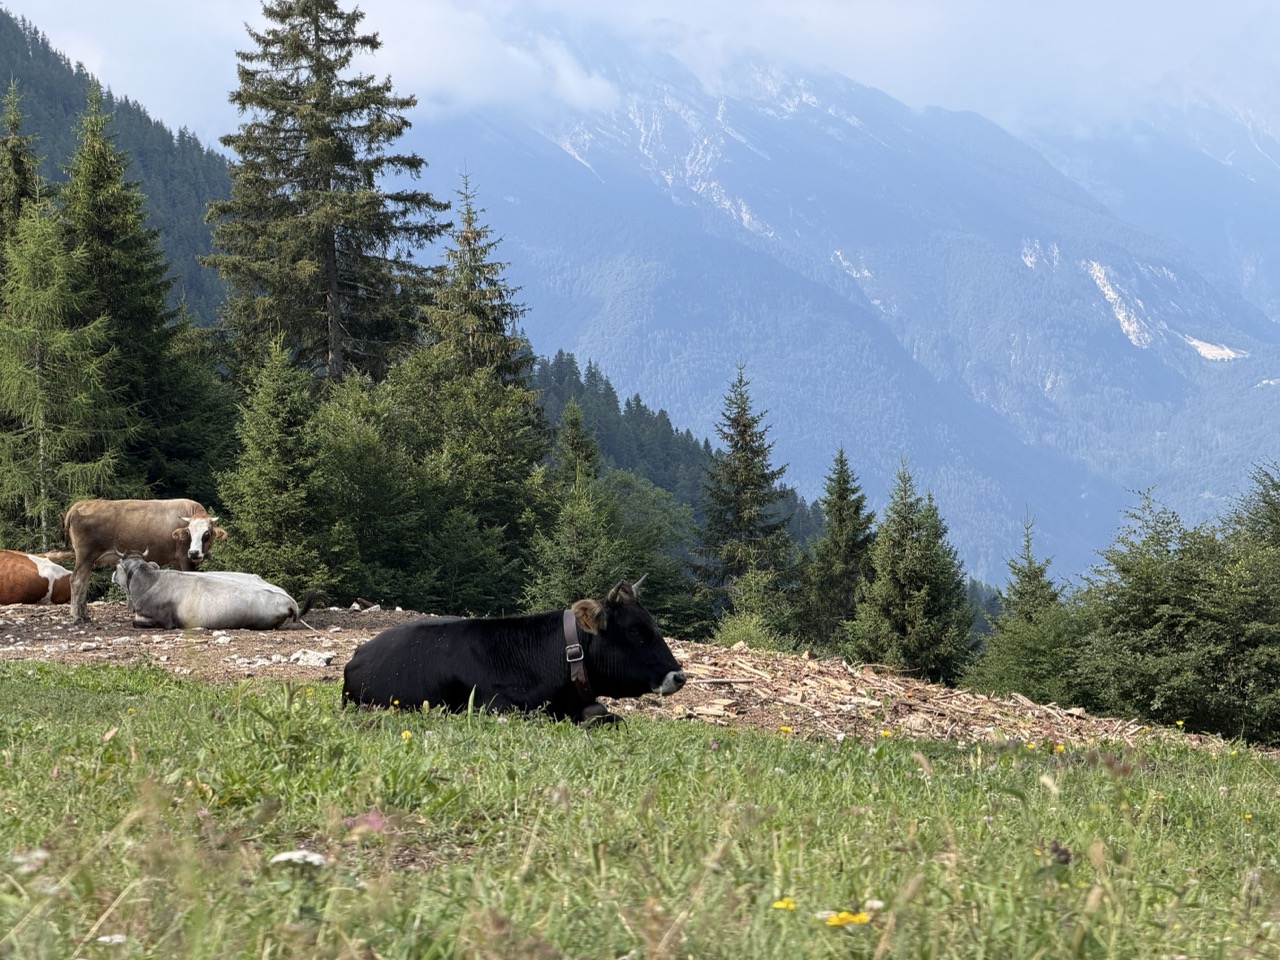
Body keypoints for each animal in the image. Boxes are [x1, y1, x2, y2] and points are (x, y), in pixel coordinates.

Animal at [63, 498, 227, 622]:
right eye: (189, 532)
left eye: (207, 533)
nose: (194, 553)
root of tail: (84, 503)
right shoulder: (184, 558)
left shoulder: (176, 560)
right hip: (85, 555)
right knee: (76, 580)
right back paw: (77, 616)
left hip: (88, 559)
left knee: (84, 581)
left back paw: (85, 614)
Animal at [111, 557, 319, 630]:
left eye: (118, 567)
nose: (112, 574)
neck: (148, 582)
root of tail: (289, 601)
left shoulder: (163, 620)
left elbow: (136, 622)